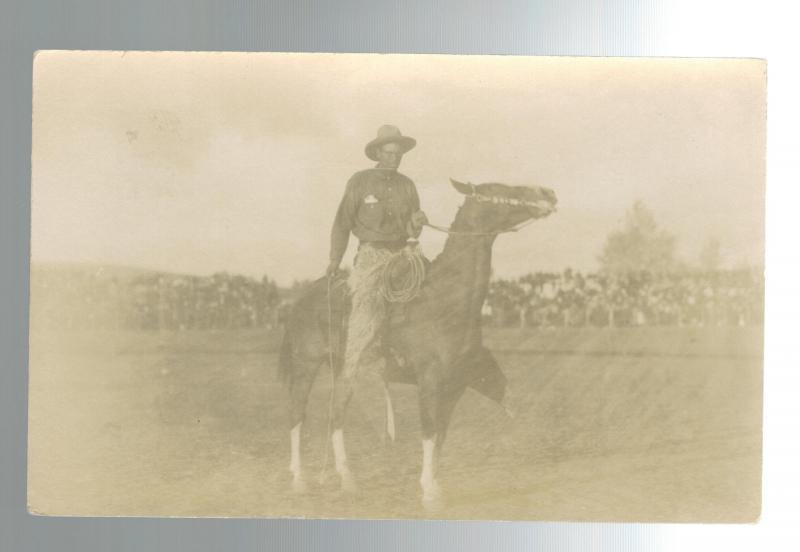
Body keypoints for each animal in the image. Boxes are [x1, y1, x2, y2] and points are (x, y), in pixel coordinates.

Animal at [278, 179, 560, 506]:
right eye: (503, 189)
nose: (549, 194)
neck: (445, 299)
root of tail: (299, 300)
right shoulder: (430, 381)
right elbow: (428, 431)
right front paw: (429, 491)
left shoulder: (454, 387)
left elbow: (441, 435)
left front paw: (436, 483)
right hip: (305, 366)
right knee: (297, 414)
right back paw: (299, 479)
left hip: (344, 371)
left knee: (336, 415)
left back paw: (346, 479)